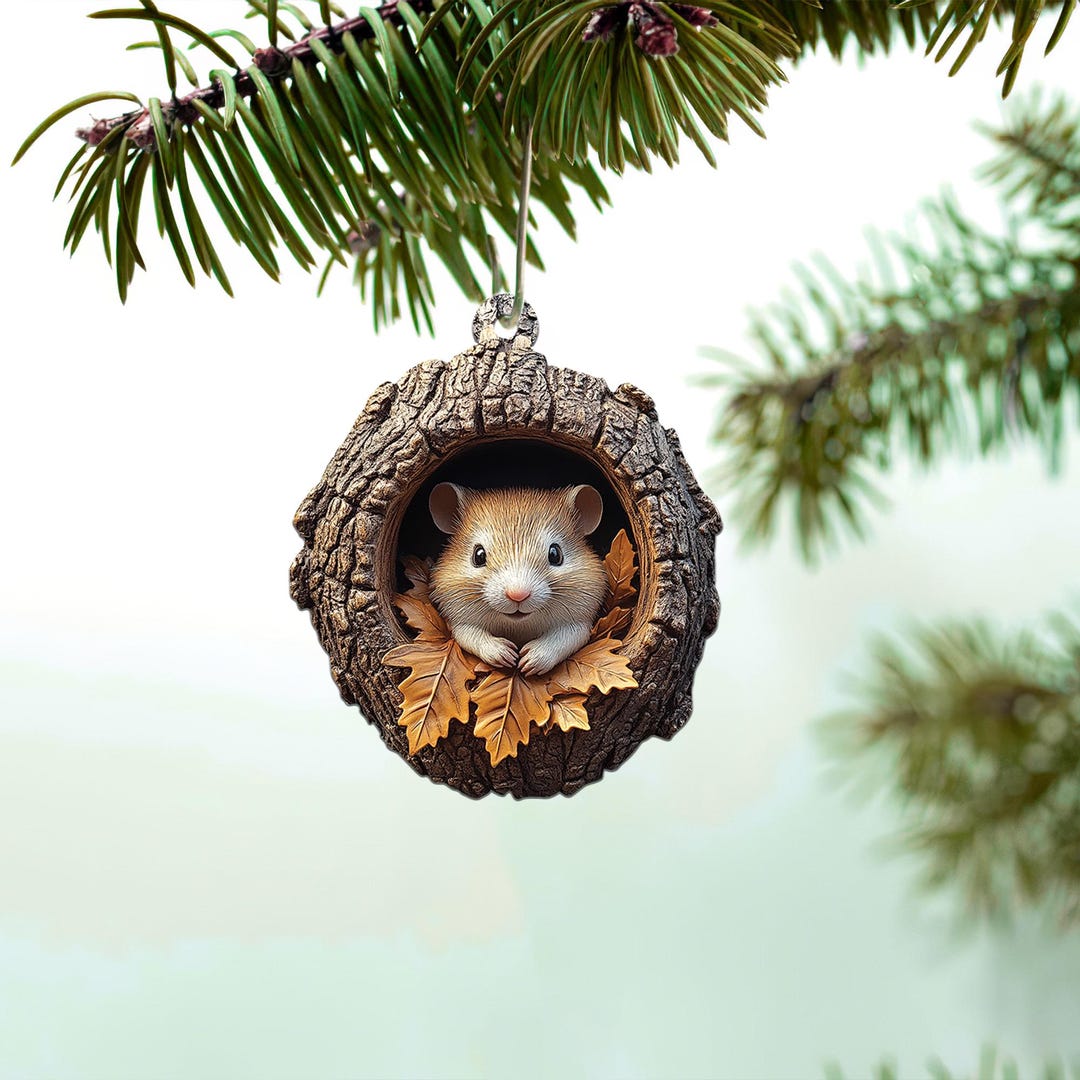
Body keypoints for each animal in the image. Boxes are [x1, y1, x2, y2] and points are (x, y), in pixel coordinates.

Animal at [428, 483, 608, 676]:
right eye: (478, 556)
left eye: (555, 554)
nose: (518, 595)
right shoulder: (459, 621)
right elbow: (470, 636)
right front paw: (505, 654)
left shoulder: (580, 623)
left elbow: (564, 639)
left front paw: (529, 661)